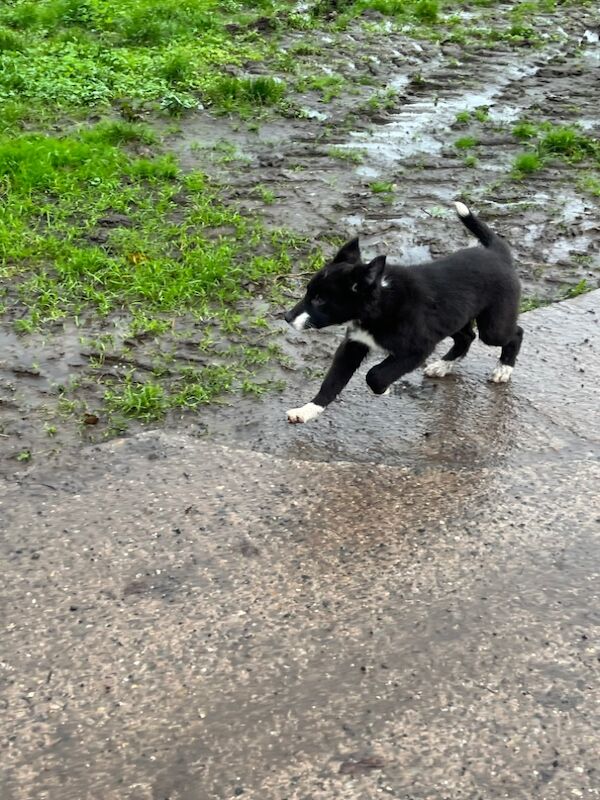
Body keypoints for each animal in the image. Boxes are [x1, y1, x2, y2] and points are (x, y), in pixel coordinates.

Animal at [284, 202, 524, 424]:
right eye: (308, 292)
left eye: (320, 300)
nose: (286, 318)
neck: (380, 302)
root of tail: (497, 253)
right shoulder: (354, 344)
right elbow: (332, 381)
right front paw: (307, 410)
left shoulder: (417, 349)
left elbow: (375, 374)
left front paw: (384, 389)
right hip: (454, 318)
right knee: (467, 336)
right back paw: (443, 366)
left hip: (493, 326)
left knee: (515, 333)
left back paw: (503, 369)